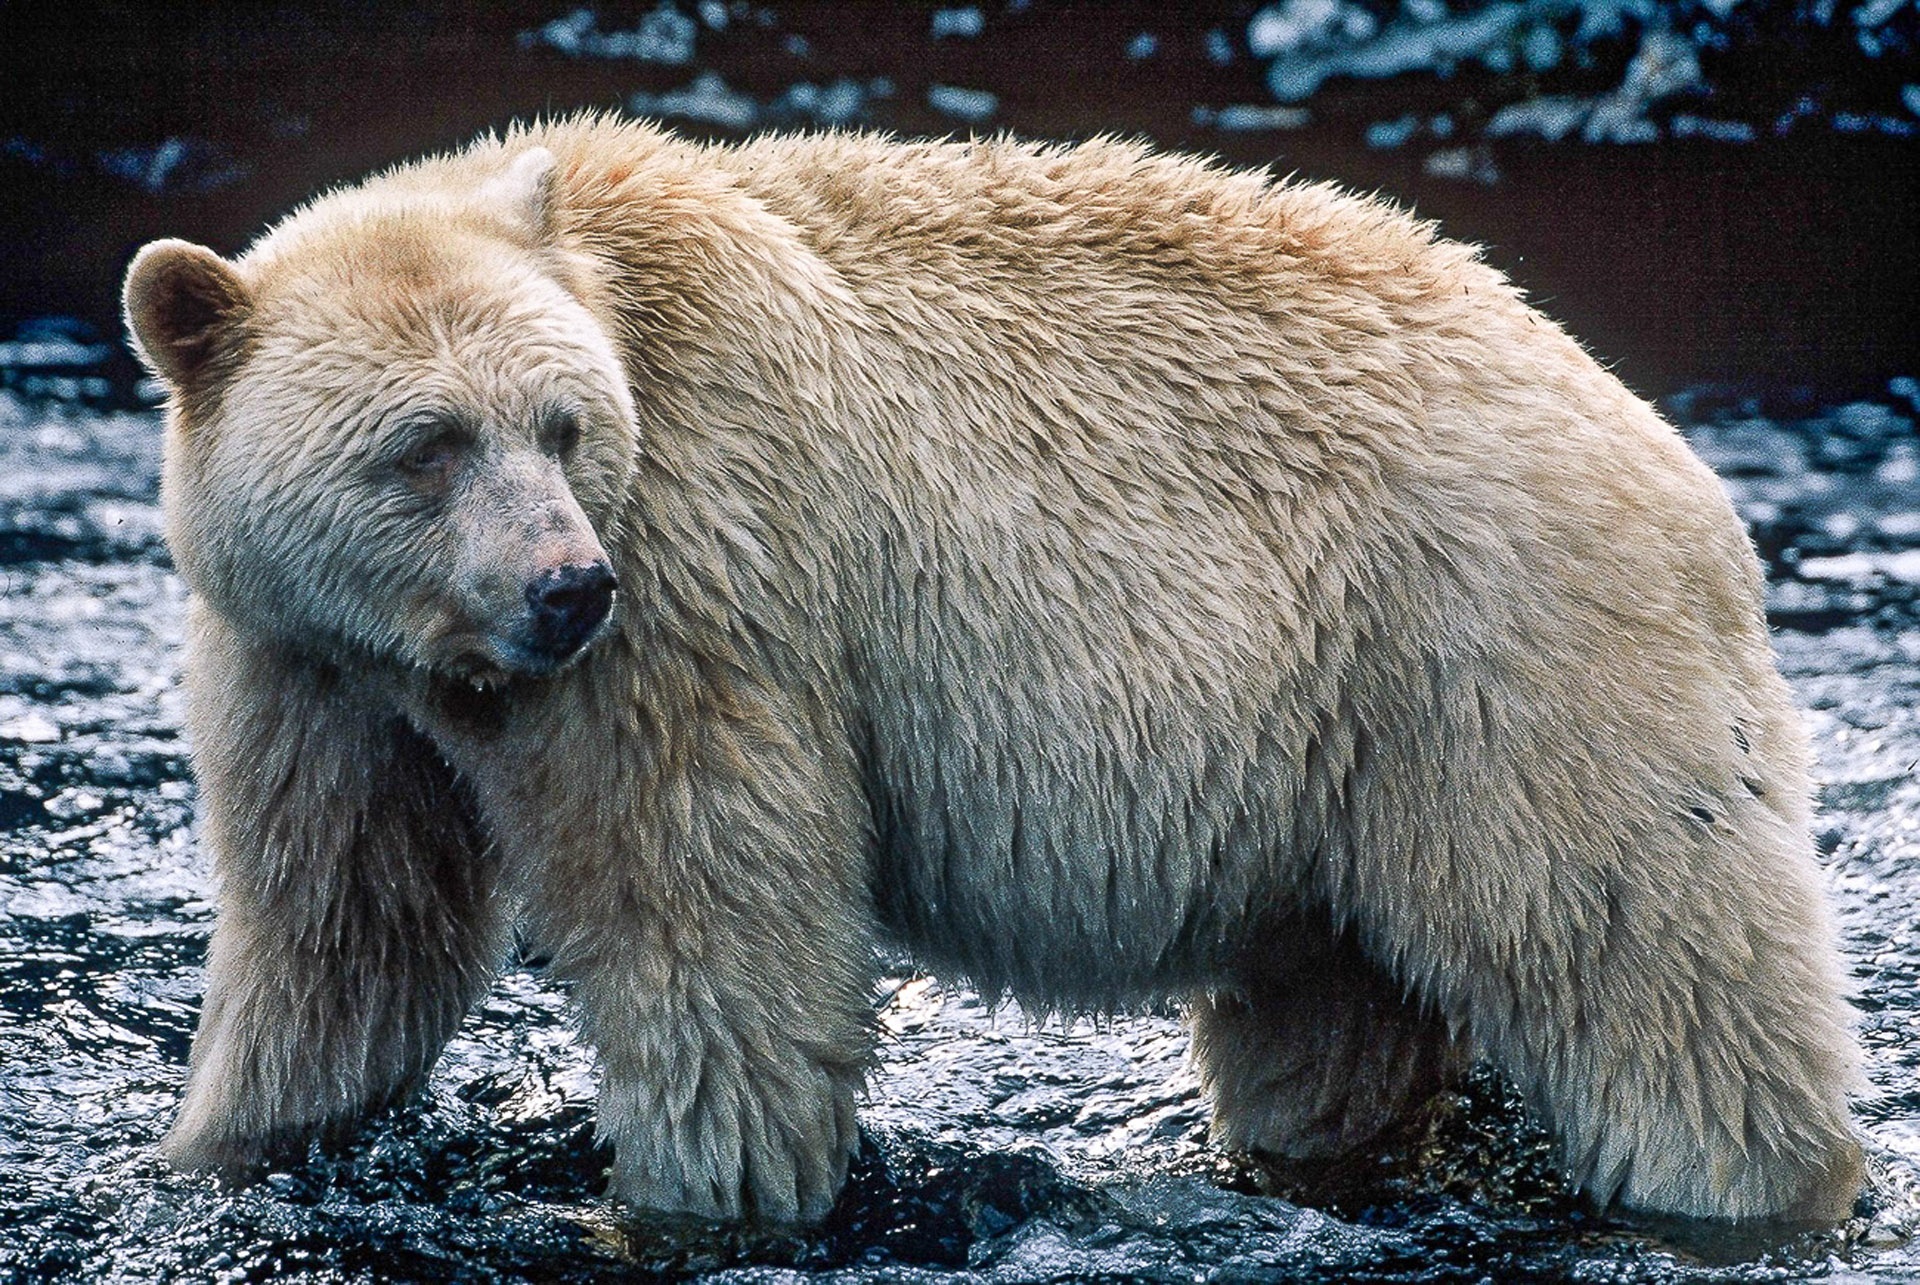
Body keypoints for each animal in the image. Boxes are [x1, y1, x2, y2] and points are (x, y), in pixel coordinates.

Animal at [120, 117, 1858, 1221]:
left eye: (560, 424)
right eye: (424, 444)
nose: (566, 586)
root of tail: (1664, 446)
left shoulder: (702, 579)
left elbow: (711, 913)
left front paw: (687, 1195)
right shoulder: (308, 664)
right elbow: (344, 925)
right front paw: (224, 1143)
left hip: (1503, 664)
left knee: (1645, 957)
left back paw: (1751, 1187)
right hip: (1346, 757)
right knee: (1334, 1011)